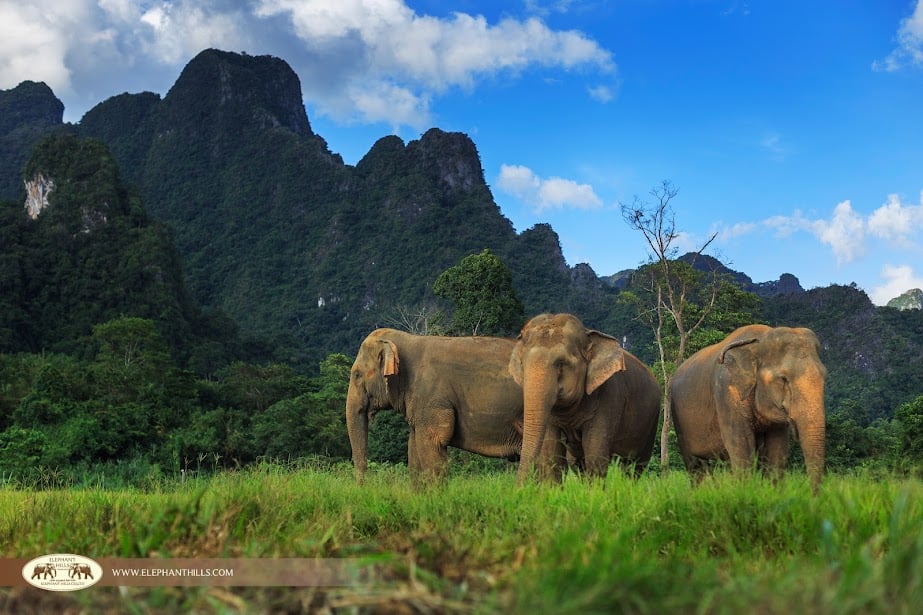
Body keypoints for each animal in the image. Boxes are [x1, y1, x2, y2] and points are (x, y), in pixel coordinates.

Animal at [346, 328, 524, 484]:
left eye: (357, 374)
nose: (366, 486)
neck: (409, 339)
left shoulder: (431, 398)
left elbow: (432, 443)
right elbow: (413, 448)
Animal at [509, 313, 661, 484]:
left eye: (561, 363)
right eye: (522, 364)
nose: (518, 488)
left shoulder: (609, 396)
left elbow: (595, 454)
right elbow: (552, 455)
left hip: (651, 423)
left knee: (634, 465)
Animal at [669, 324, 827, 491]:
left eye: (825, 376)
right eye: (783, 379)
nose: (813, 494)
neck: (760, 340)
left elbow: (777, 450)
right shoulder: (726, 390)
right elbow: (742, 445)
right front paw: (743, 491)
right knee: (695, 464)